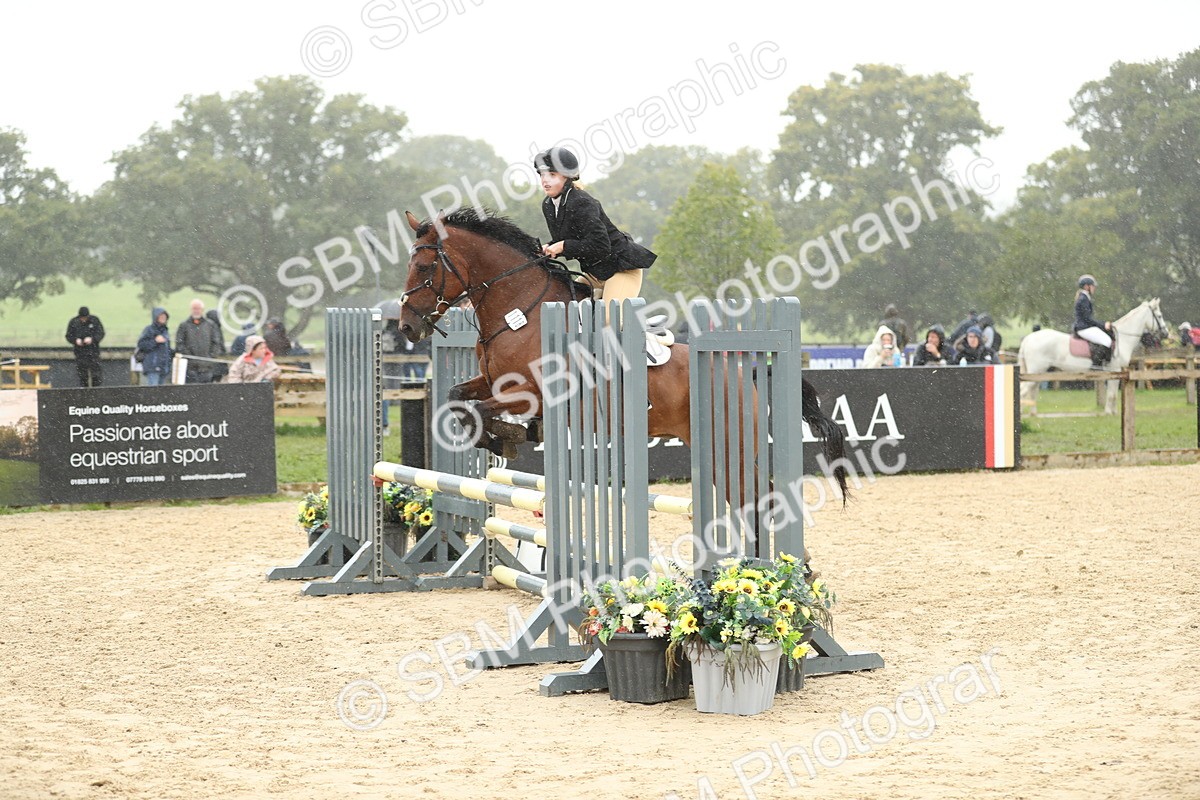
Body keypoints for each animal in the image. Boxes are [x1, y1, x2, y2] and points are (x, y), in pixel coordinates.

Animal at [397, 208, 850, 499]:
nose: (406, 326)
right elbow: (457, 400)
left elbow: (479, 411)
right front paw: (503, 438)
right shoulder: (493, 383)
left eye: (424, 268)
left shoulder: (532, 394)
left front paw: (509, 436)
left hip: (732, 443)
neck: (519, 312)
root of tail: (747, 371)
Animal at [1017, 298, 1170, 415]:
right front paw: (1108, 413)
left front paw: (1113, 412)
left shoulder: (1117, 372)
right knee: (1024, 390)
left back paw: (1033, 414)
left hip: (1038, 373)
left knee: (1031, 390)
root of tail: (1028, 339)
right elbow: (1112, 394)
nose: (1166, 333)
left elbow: (1113, 393)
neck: (1122, 337)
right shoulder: (1114, 369)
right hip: (1036, 371)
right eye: (1159, 316)